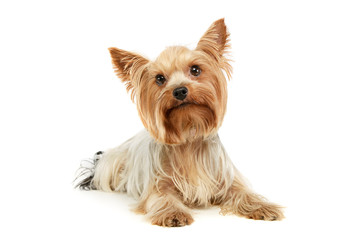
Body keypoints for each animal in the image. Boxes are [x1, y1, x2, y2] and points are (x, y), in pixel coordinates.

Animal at [75, 18, 284, 227]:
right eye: (160, 79)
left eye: (195, 70)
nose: (180, 90)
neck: (189, 132)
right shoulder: (158, 185)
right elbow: (162, 197)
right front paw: (173, 213)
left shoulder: (226, 179)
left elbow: (244, 193)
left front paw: (264, 207)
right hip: (112, 165)